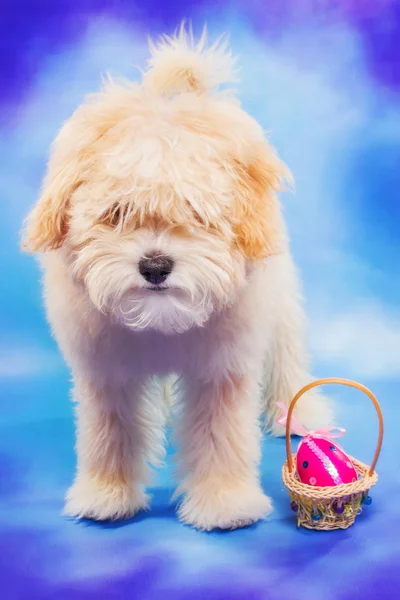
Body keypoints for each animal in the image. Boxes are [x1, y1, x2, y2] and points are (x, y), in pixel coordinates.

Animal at [23, 30, 332, 532]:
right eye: (118, 213)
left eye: (194, 212)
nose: (154, 267)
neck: (160, 323)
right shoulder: (105, 371)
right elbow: (109, 432)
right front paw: (106, 494)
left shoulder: (222, 367)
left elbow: (220, 435)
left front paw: (224, 503)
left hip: (281, 304)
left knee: (285, 357)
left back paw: (299, 411)